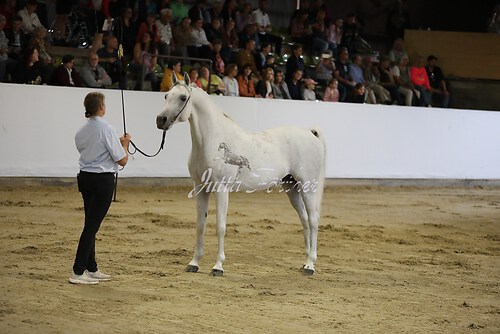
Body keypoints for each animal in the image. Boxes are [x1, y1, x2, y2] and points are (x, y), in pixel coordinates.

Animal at [157, 74, 328, 276]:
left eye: (183, 97)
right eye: (166, 96)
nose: (161, 120)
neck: (212, 141)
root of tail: (310, 132)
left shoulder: (221, 189)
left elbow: (220, 227)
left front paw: (218, 266)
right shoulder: (200, 188)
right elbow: (200, 225)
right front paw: (194, 263)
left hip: (308, 187)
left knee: (313, 220)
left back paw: (310, 265)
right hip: (291, 188)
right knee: (305, 220)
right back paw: (305, 262)